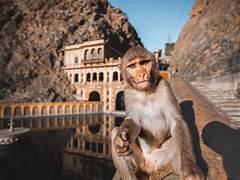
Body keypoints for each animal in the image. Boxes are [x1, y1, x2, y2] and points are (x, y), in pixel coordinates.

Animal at [111, 46, 204, 180]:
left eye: (144, 63)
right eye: (132, 66)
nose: (141, 74)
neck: (146, 92)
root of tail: (150, 169)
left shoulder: (164, 85)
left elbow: (177, 121)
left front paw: (190, 168)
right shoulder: (128, 92)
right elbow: (133, 122)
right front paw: (121, 136)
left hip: (160, 162)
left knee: (175, 139)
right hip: (141, 163)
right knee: (114, 133)